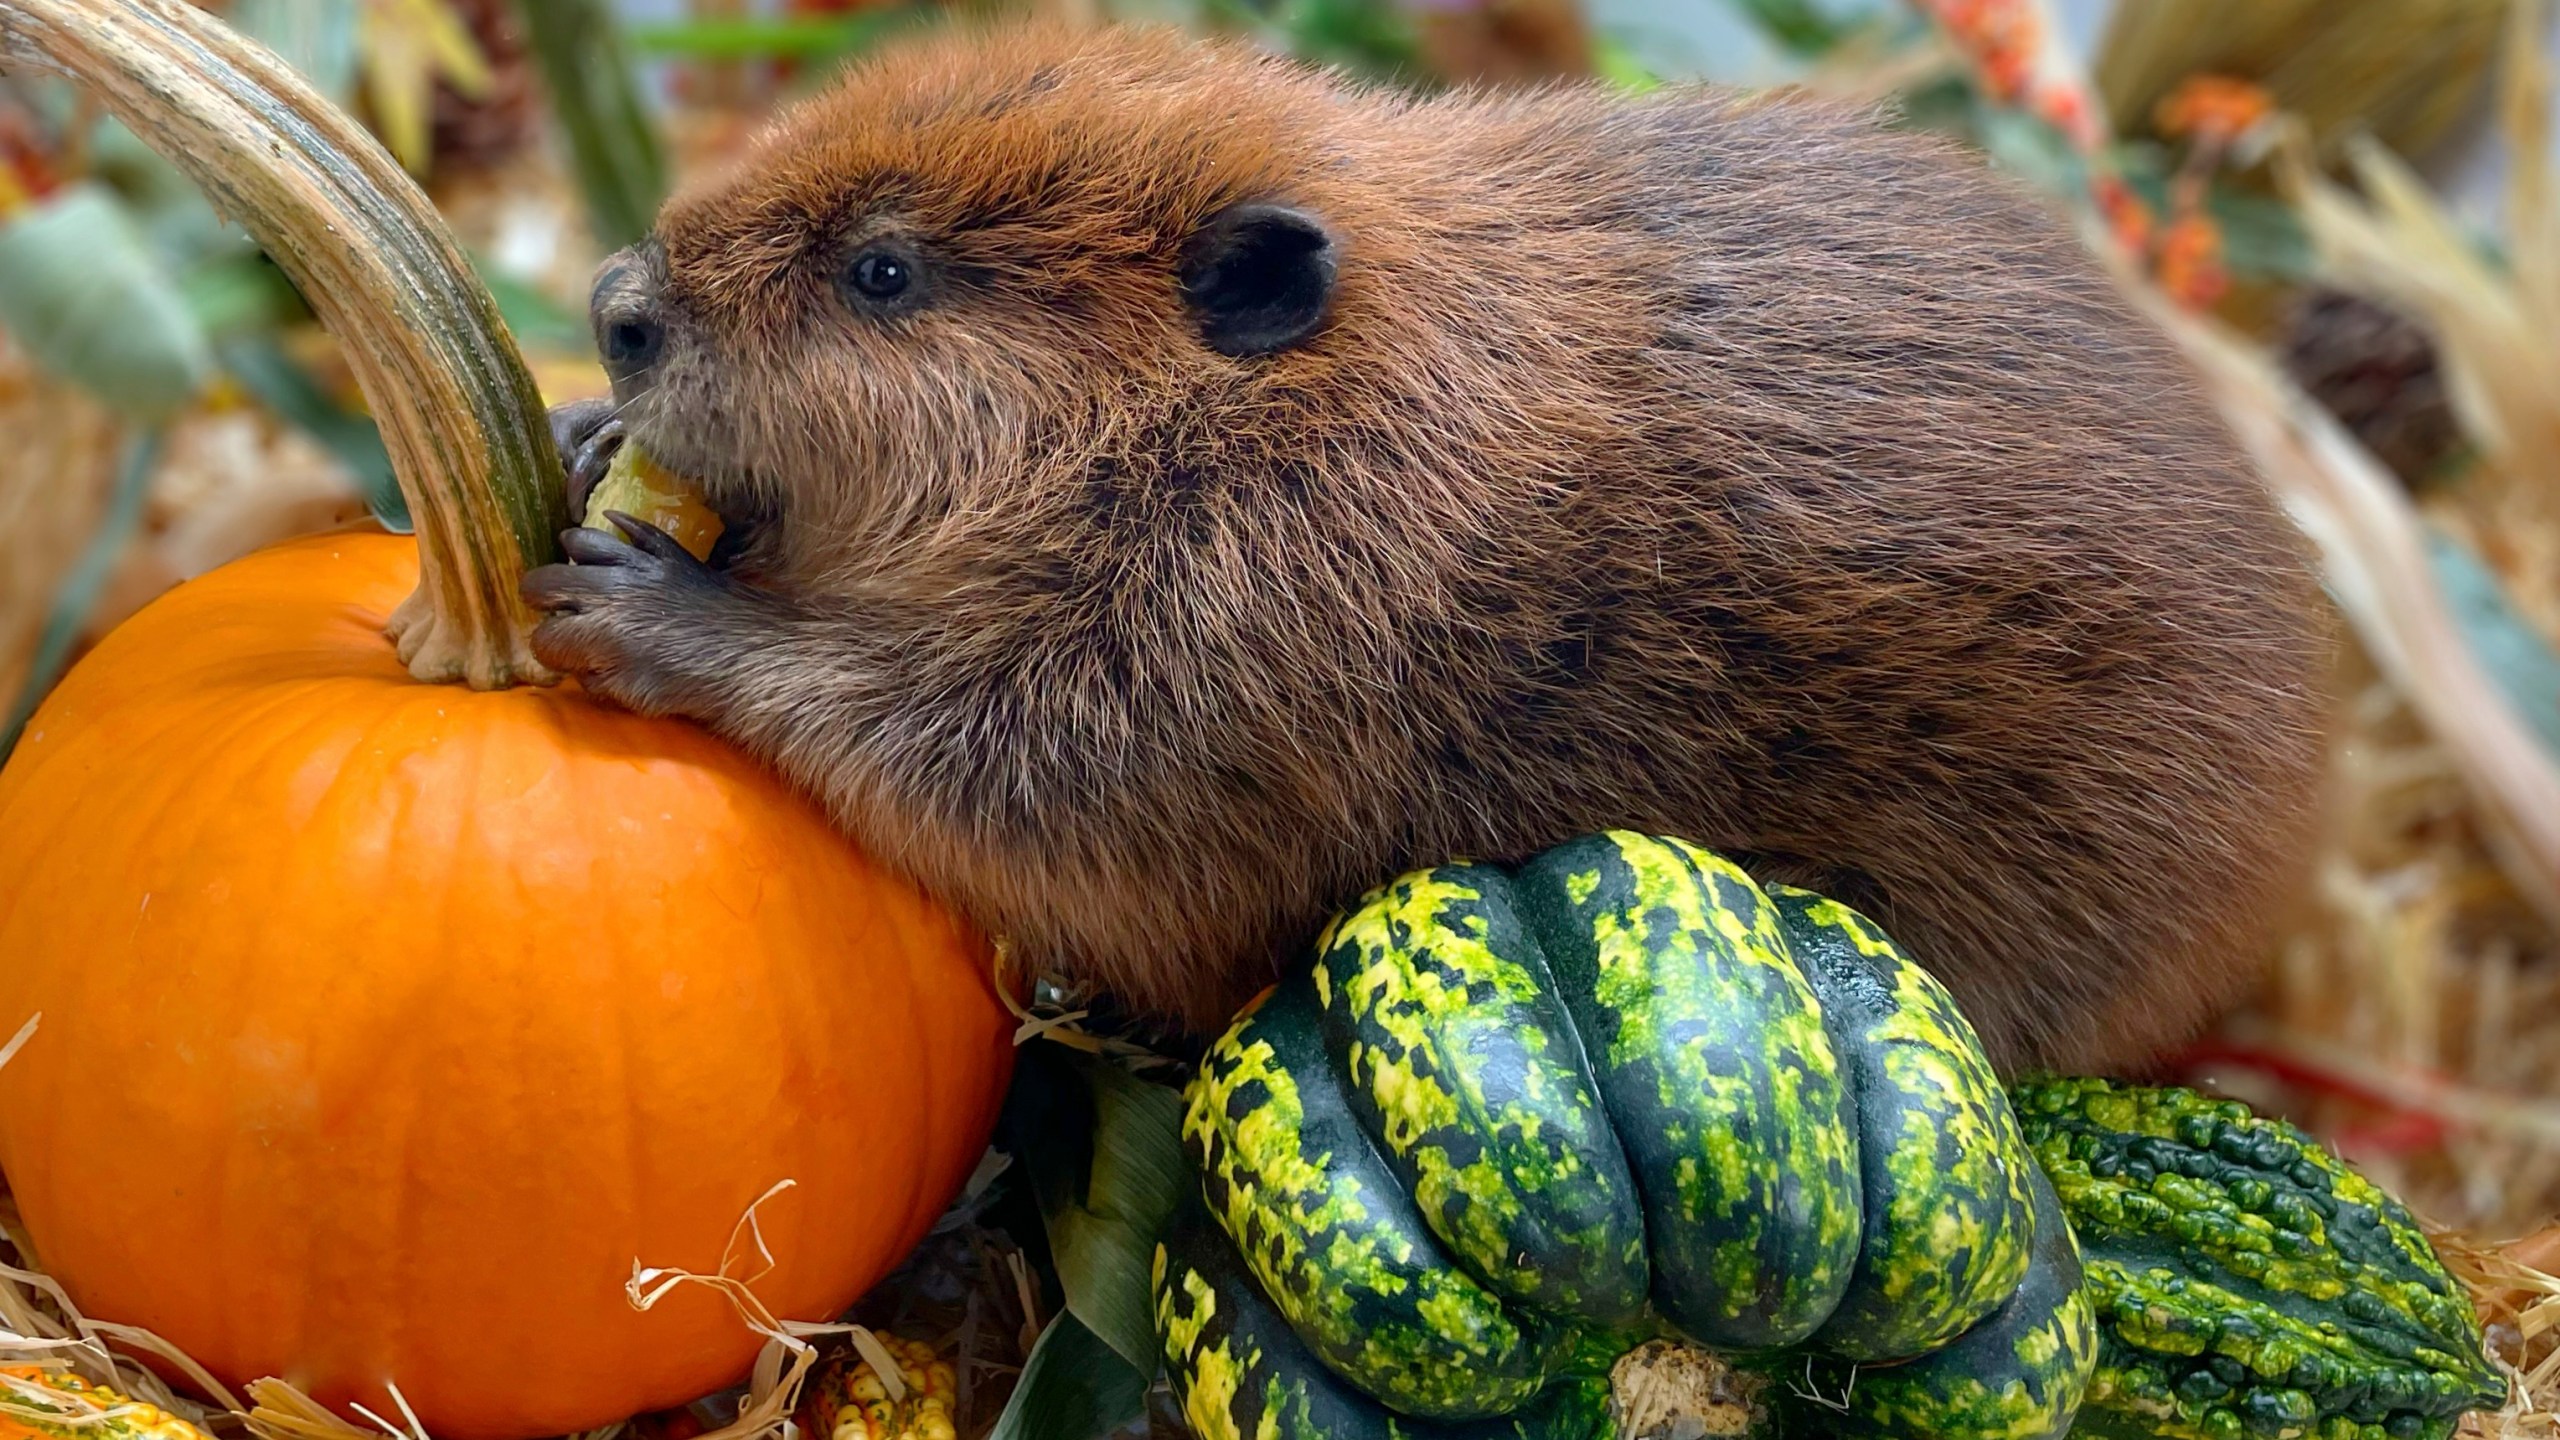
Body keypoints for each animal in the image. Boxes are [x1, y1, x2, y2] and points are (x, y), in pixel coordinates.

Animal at [514, 19, 2324, 1065]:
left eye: (884, 270)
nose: (618, 308)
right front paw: (584, 444)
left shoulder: (1253, 643)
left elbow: (1017, 785)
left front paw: (642, 600)